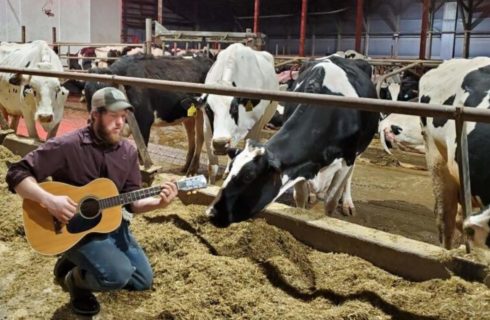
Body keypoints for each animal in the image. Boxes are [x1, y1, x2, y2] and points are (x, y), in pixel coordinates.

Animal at [84, 53, 214, 176]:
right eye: (88, 95)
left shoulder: (144, 122)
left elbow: (141, 156)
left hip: (202, 113)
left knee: (200, 138)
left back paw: (192, 170)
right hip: (188, 114)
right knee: (191, 136)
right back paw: (186, 167)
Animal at [206, 57, 378, 228]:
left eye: (249, 176)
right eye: (229, 170)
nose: (211, 212)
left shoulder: (347, 158)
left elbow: (331, 201)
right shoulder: (298, 167)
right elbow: (300, 197)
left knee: (349, 177)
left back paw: (347, 203)